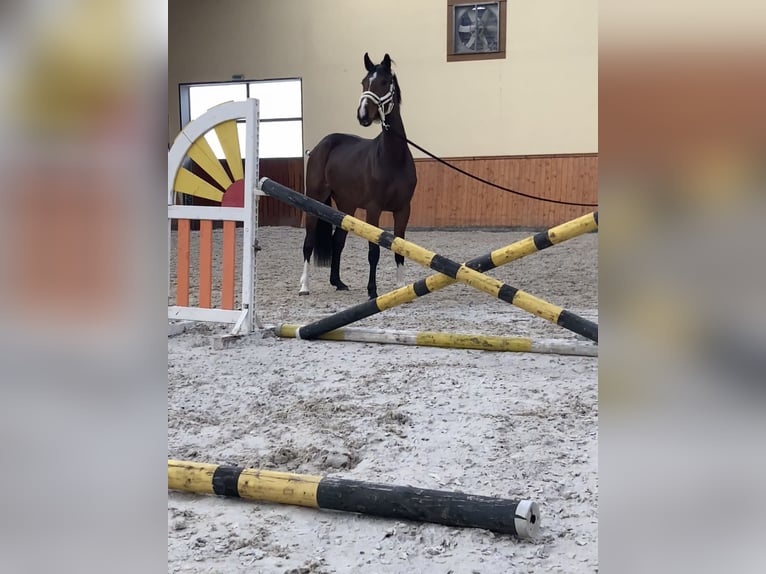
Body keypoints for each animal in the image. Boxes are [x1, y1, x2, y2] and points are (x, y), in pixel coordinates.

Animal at [302, 53, 420, 302]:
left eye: (385, 82)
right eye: (364, 82)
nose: (363, 115)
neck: (392, 158)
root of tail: (320, 146)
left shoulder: (403, 209)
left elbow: (400, 248)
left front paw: (401, 287)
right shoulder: (374, 209)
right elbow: (373, 251)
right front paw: (372, 291)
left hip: (347, 206)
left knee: (338, 241)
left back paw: (338, 282)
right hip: (314, 202)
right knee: (308, 243)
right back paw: (304, 286)